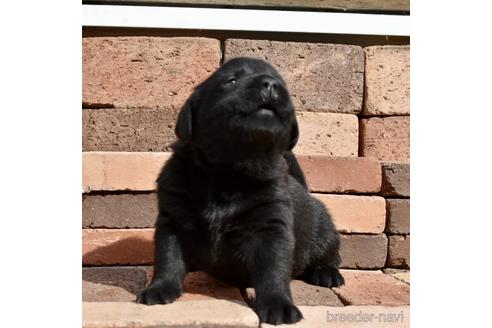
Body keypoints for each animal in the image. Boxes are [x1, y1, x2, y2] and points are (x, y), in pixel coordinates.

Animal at [136, 57, 344, 326]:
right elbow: (167, 257)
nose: (270, 84)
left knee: (329, 253)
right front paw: (159, 288)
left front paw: (278, 304)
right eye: (231, 80)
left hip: (324, 230)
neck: (230, 172)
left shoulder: (271, 227)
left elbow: (273, 270)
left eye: (282, 83)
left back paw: (327, 273)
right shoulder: (173, 219)